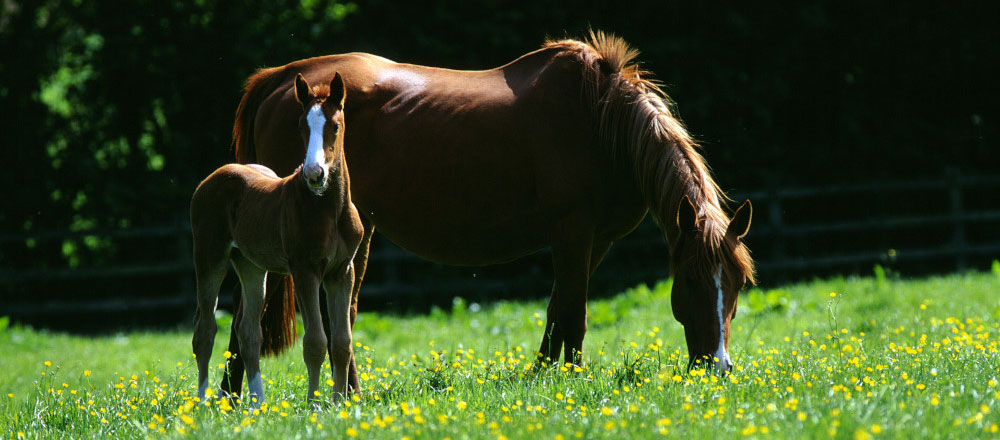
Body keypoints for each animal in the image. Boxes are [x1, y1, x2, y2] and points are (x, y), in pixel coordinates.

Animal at [190, 72, 363, 405]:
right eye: (301, 126)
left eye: (335, 126)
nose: (314, 174)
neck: (329, 209)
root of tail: (213, 177)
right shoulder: (305, 270)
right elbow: (315, 341)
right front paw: (314, 405)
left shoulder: (341, 271)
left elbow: (341, 342)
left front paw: (338, 404)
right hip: (209, 258)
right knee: (205, 330)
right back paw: (203, 402)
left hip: (252, 267)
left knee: (248, 332)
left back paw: (258, 403)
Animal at [220, 30, 756, 396]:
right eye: (690, 281)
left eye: (736, 285)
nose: (719, 367)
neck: (601, 122)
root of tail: (277, 81)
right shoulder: (573, 234)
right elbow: (575, 315)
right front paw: (573, 381)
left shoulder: (592, 241)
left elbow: (557, 312)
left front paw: (544, 375)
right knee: (254, 312)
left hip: (353, 232)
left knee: (333, 315)